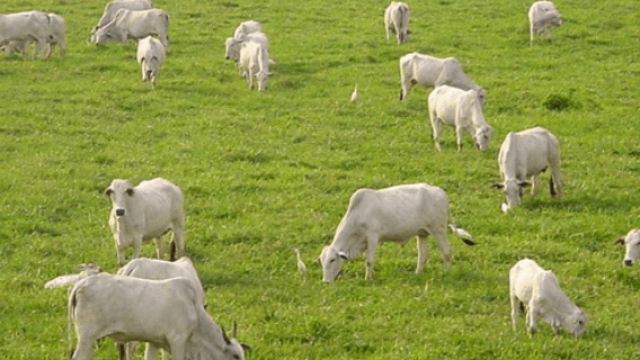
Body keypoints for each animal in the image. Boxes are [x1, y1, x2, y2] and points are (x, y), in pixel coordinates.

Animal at [69, 274, 249, 358]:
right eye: (235, 356)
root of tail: (81, 284)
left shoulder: (154, 342)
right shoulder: (178, 341)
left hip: (90, 340)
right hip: (86, 337)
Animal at [320, 183, 476, 282]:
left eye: (332, 260)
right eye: (322, 261)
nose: (325, 281)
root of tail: (440, 192)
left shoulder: (373, 236)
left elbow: (369, 260)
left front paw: (367, 279)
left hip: (439, 230)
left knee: (446, 251)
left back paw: (447, 272)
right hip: (422, 233)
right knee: (423, 255)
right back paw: (417, 274)